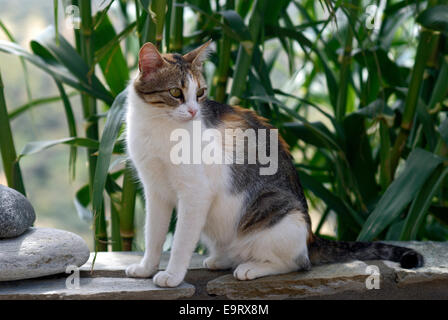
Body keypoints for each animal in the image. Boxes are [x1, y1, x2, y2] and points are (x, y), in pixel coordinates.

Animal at [126, 40, 424, 288]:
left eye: (199, 93)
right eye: (176, 92)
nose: (193, 111)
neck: (159, 128)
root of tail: (311, 237)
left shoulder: (196, 193)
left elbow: (180, 242)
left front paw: (173, 275)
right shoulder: (155, 191)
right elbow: (154, 234)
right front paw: (146, 268)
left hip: (275, 213)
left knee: (297, 263)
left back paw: (251, 267)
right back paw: (222, 259)